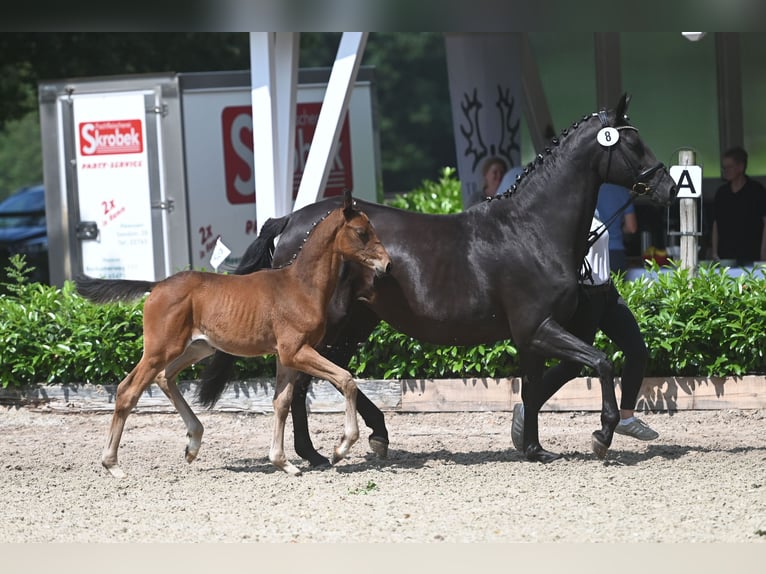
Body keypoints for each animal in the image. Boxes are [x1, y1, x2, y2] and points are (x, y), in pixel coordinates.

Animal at [76, 191, 392, 480]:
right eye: (362, 232)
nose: (387, 265)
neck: (300, 285)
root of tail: (156, 285)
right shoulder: (296, 351)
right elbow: (346, 380)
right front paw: (341, 449)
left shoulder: (285, 357)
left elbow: (281, 402)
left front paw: (282, 462)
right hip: (160, 349)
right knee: (128, 390)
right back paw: (112, 464)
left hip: (197, 348)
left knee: (165, 377)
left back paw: (193, 444)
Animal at [196, 95, 680, 468]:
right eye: (632, 143)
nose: (670, 189)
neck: (531, 229)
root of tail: (291, 221)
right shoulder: (539, 328)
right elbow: (602, 361)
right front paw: (601, 436)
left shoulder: (531, 337)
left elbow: (533, 386)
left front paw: (534, 448)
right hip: (328, 327)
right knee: (304, 385)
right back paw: (321, 452)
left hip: (355, 324)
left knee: (322, 378)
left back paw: (357, 441)